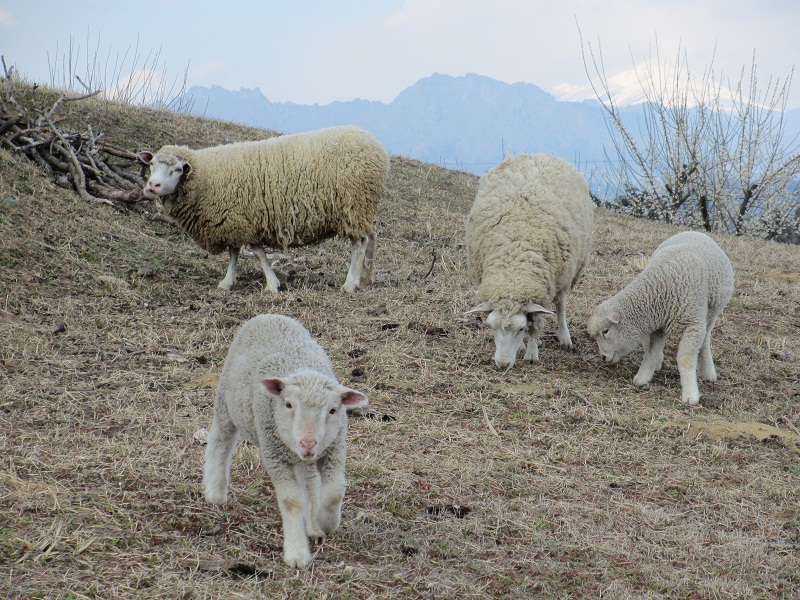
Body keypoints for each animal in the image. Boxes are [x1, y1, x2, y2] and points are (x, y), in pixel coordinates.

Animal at [139, 125, 390, 294]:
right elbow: (234, 252)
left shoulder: (245, 221)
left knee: (359, 243)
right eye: (151, 164)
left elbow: (257, 252)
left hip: (353, 206)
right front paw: (228, 282)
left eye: (178, 170)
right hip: (362, 208)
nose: (152, 185)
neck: (205, 179)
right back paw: (365, 279)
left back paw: (350, 283)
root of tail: (377, 146)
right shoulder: (233, 221)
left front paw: (272, 284)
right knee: (371, 236)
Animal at [205, 312, 370, 568]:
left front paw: (325, 522)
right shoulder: (274, 455)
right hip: (225, 402)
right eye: (288, 404)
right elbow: (292, 501)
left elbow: (333, 492)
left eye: (333, 410)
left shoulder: (334, 450)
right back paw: (215, 491)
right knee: (221, 442)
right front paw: (296, 553)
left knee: (310, 482)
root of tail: (270, 315)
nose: (308, 443)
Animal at [462, 152, 592, 368]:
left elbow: (536, 325)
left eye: (521, 329)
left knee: (561, 305)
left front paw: (531, 353)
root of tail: (542, 154)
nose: (502, 365)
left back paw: (564, 337)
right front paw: (524, 347)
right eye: (492, 328)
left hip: (565, 276)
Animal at [584, 232, 736, 406]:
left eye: (605, 331)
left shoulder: (693, 325)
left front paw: (690, 395)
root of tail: (695, 232)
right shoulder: (659, 326)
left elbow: (685, 359)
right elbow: (652, 351)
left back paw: (708, 372)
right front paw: (643, 377)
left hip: (711, 314)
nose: (602, 357)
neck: (660, 284)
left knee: (705, 339)